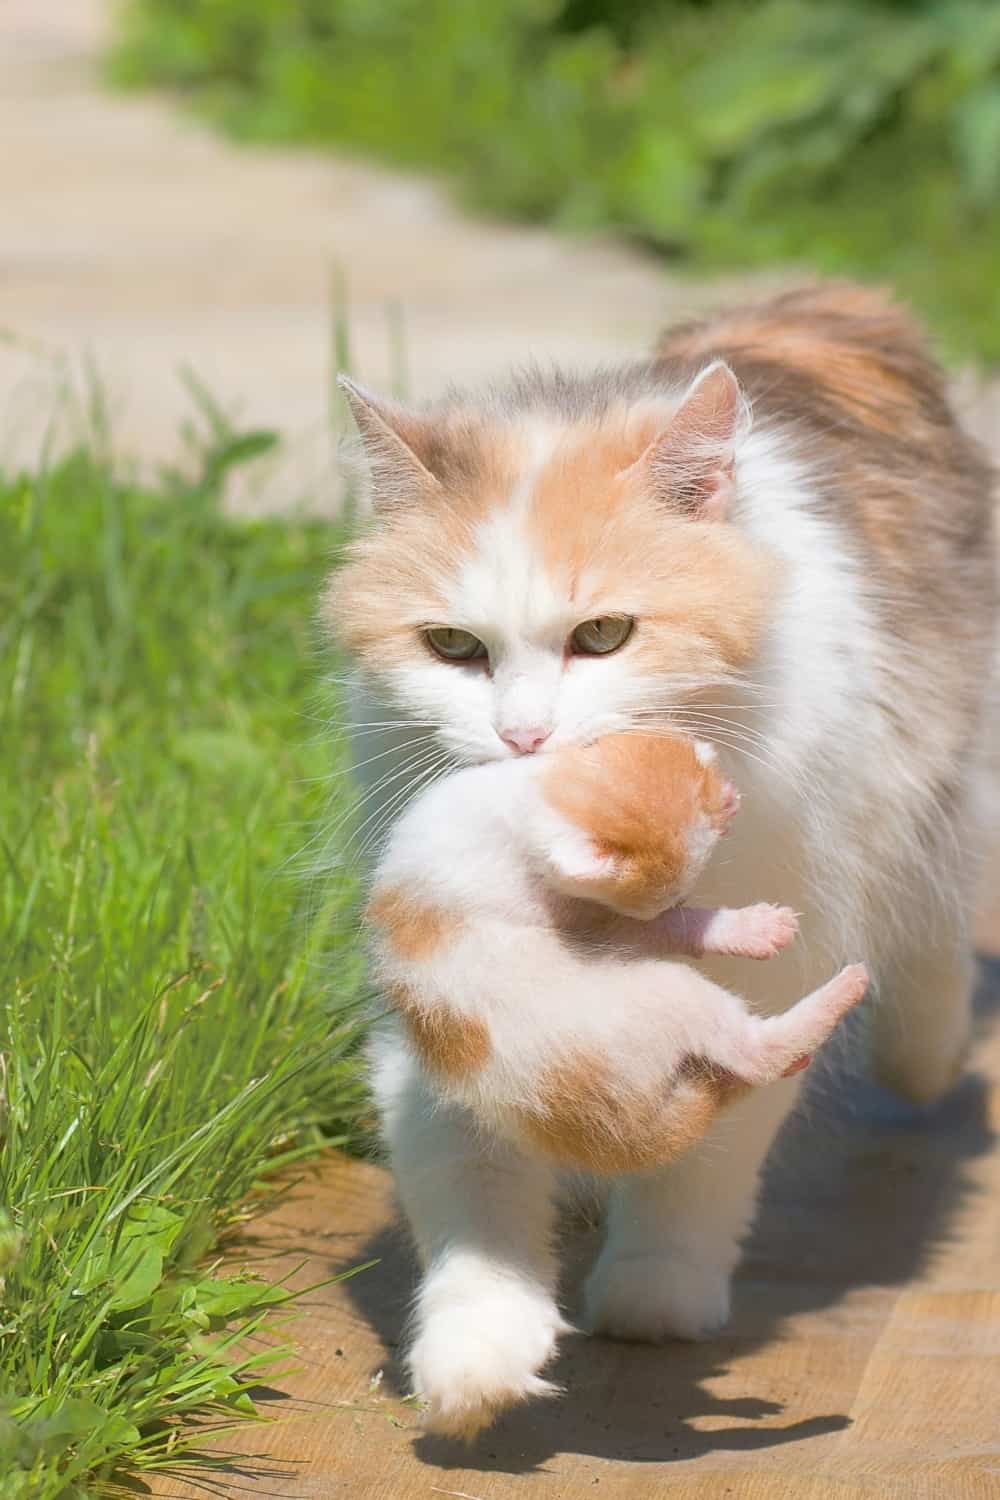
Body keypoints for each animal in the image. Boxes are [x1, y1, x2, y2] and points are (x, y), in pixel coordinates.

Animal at [325, 283, 995, 1440]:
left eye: (604, 636)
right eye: (453, 648)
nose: (522, 739)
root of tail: (823, 298)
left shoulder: (787, 934)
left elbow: (709, 1155)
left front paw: (655, 1292)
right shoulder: (433, 999)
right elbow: (469, 1187)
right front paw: (476, 1359)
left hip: (935, 763)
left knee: (930, 934)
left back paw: (929, 1044)